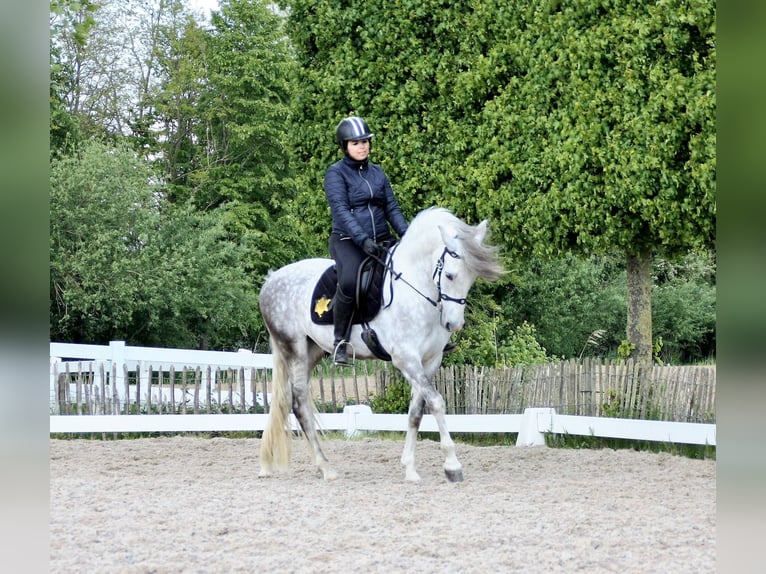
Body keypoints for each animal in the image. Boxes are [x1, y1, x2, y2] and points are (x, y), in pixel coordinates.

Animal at [258, 209, 508, 484]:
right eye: (450, 275)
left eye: (472, 278)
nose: (454, 324)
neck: (416, 288)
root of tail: (271, 280)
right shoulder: (406, 358)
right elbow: (436, 402)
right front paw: (452, 466)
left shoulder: (430, 361)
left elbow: (416, 411)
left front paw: (410, 469)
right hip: (295, 350)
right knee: (299, 404)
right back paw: (326, 469)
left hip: (313, 351)